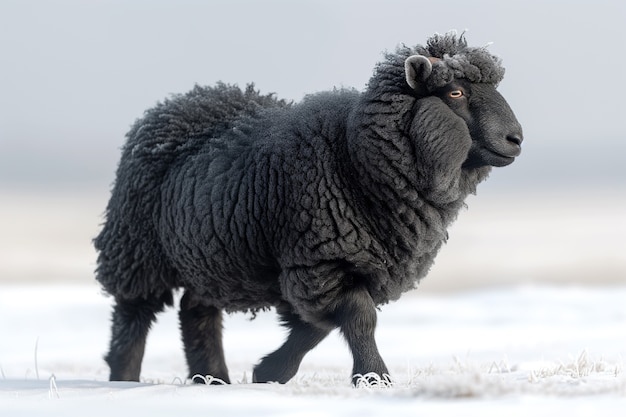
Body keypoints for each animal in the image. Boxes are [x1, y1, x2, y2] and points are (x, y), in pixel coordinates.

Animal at [92, 32, 520, 384]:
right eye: (455, 93)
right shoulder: (321, 259)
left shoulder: (326, 264)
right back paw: (125, 378)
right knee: (133, 315)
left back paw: (211, 379)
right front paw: (374, 378)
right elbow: (359, 318)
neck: (354, 157)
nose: (516, 138)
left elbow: (318, 325)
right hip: (138, 248)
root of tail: (183, 99)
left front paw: (269, 372)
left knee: (196, 312)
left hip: (209, 257)